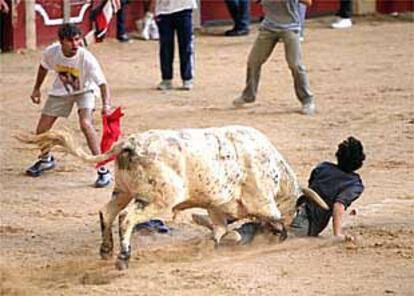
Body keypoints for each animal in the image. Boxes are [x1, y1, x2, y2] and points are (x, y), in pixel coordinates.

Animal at [17, 126, 330, 270]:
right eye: (297, 208)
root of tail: (128, 144)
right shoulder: (260, 201)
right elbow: (274, 219)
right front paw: (276, 235)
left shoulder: (217, 206)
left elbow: (220, 229)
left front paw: (214, 246)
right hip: (157, 200)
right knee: (126, 218)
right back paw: (123, 257)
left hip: (123, 191)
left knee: (107, 212)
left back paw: (106, 250)